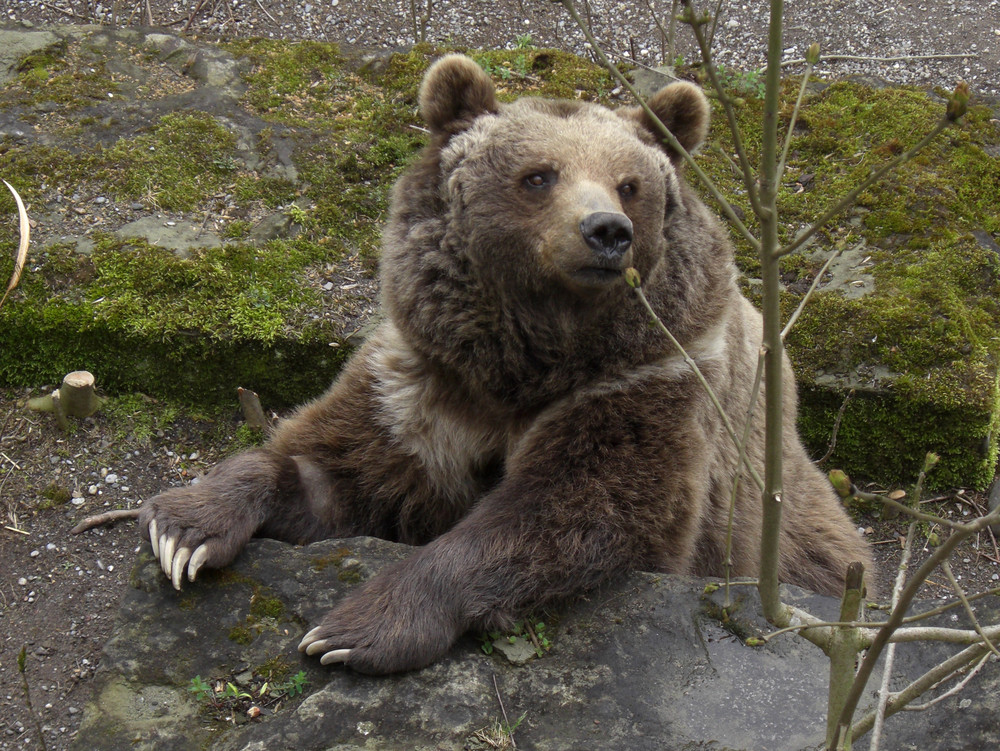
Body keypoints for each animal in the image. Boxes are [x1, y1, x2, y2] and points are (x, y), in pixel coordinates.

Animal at [137, 53, 872, 676]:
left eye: (630, 184)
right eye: (538, 175)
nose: (606, 231)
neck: (525, 360)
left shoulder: (651, 379)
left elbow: (572, 510)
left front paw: (357, 627)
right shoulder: (421, 383)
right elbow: (335, 468)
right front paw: (185, 528)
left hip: (782, 520)